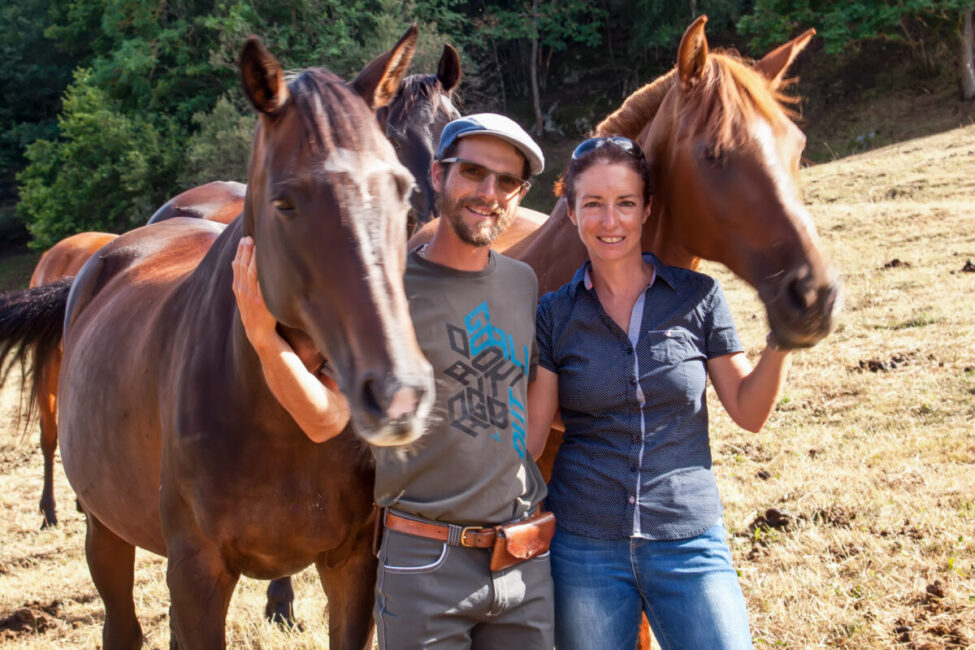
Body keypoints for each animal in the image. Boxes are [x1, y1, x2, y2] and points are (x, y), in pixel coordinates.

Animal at [0, 25, 434, 648]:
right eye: (284, 201)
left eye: (400, 189)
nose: (398, 395)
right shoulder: (197, 573)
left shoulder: (354, 566)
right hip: (106, 529)